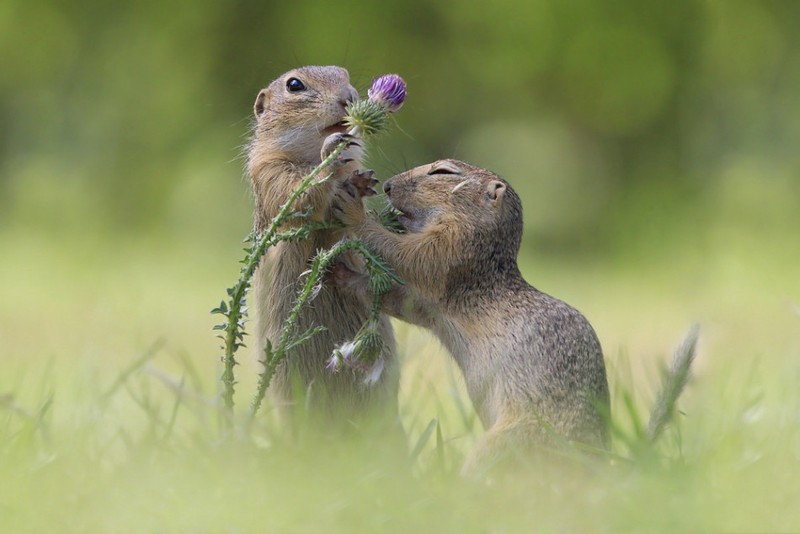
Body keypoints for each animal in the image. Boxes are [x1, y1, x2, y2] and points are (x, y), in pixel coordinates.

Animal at [247, 66, 396, 418]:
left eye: (345, 74)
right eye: (294, 85)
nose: (349, 96)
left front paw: (361, 183)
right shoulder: (268, 171)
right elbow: (296, 196)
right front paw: (331, 152)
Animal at [328, 159, 608, 474]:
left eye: (442, 172)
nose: (387, 185)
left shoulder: (449, 252)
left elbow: (404, 255)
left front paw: (354, 212)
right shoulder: (429, 306)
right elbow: (399, 299)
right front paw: (341, 273)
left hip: (507, 442)